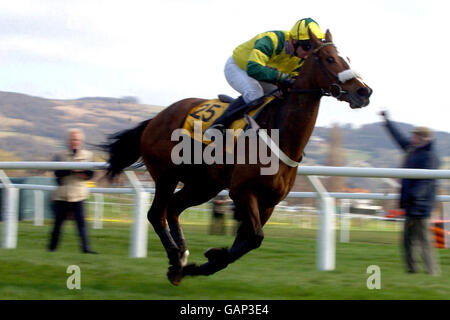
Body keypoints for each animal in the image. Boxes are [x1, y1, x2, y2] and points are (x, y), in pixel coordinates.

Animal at [104, 30, 372, 284]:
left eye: (347, 59)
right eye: (329, 59)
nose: (364, 91)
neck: (279, 135)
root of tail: (156, 118)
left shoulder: (269, 202)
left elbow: (246, 241)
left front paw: (209, 261)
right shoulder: (242, 191)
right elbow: (254, 237)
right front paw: (211, 257)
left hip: (204, 185)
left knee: (173, 209)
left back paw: (181, 259)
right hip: (167, 175)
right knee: (156, 214)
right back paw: (176, 260)